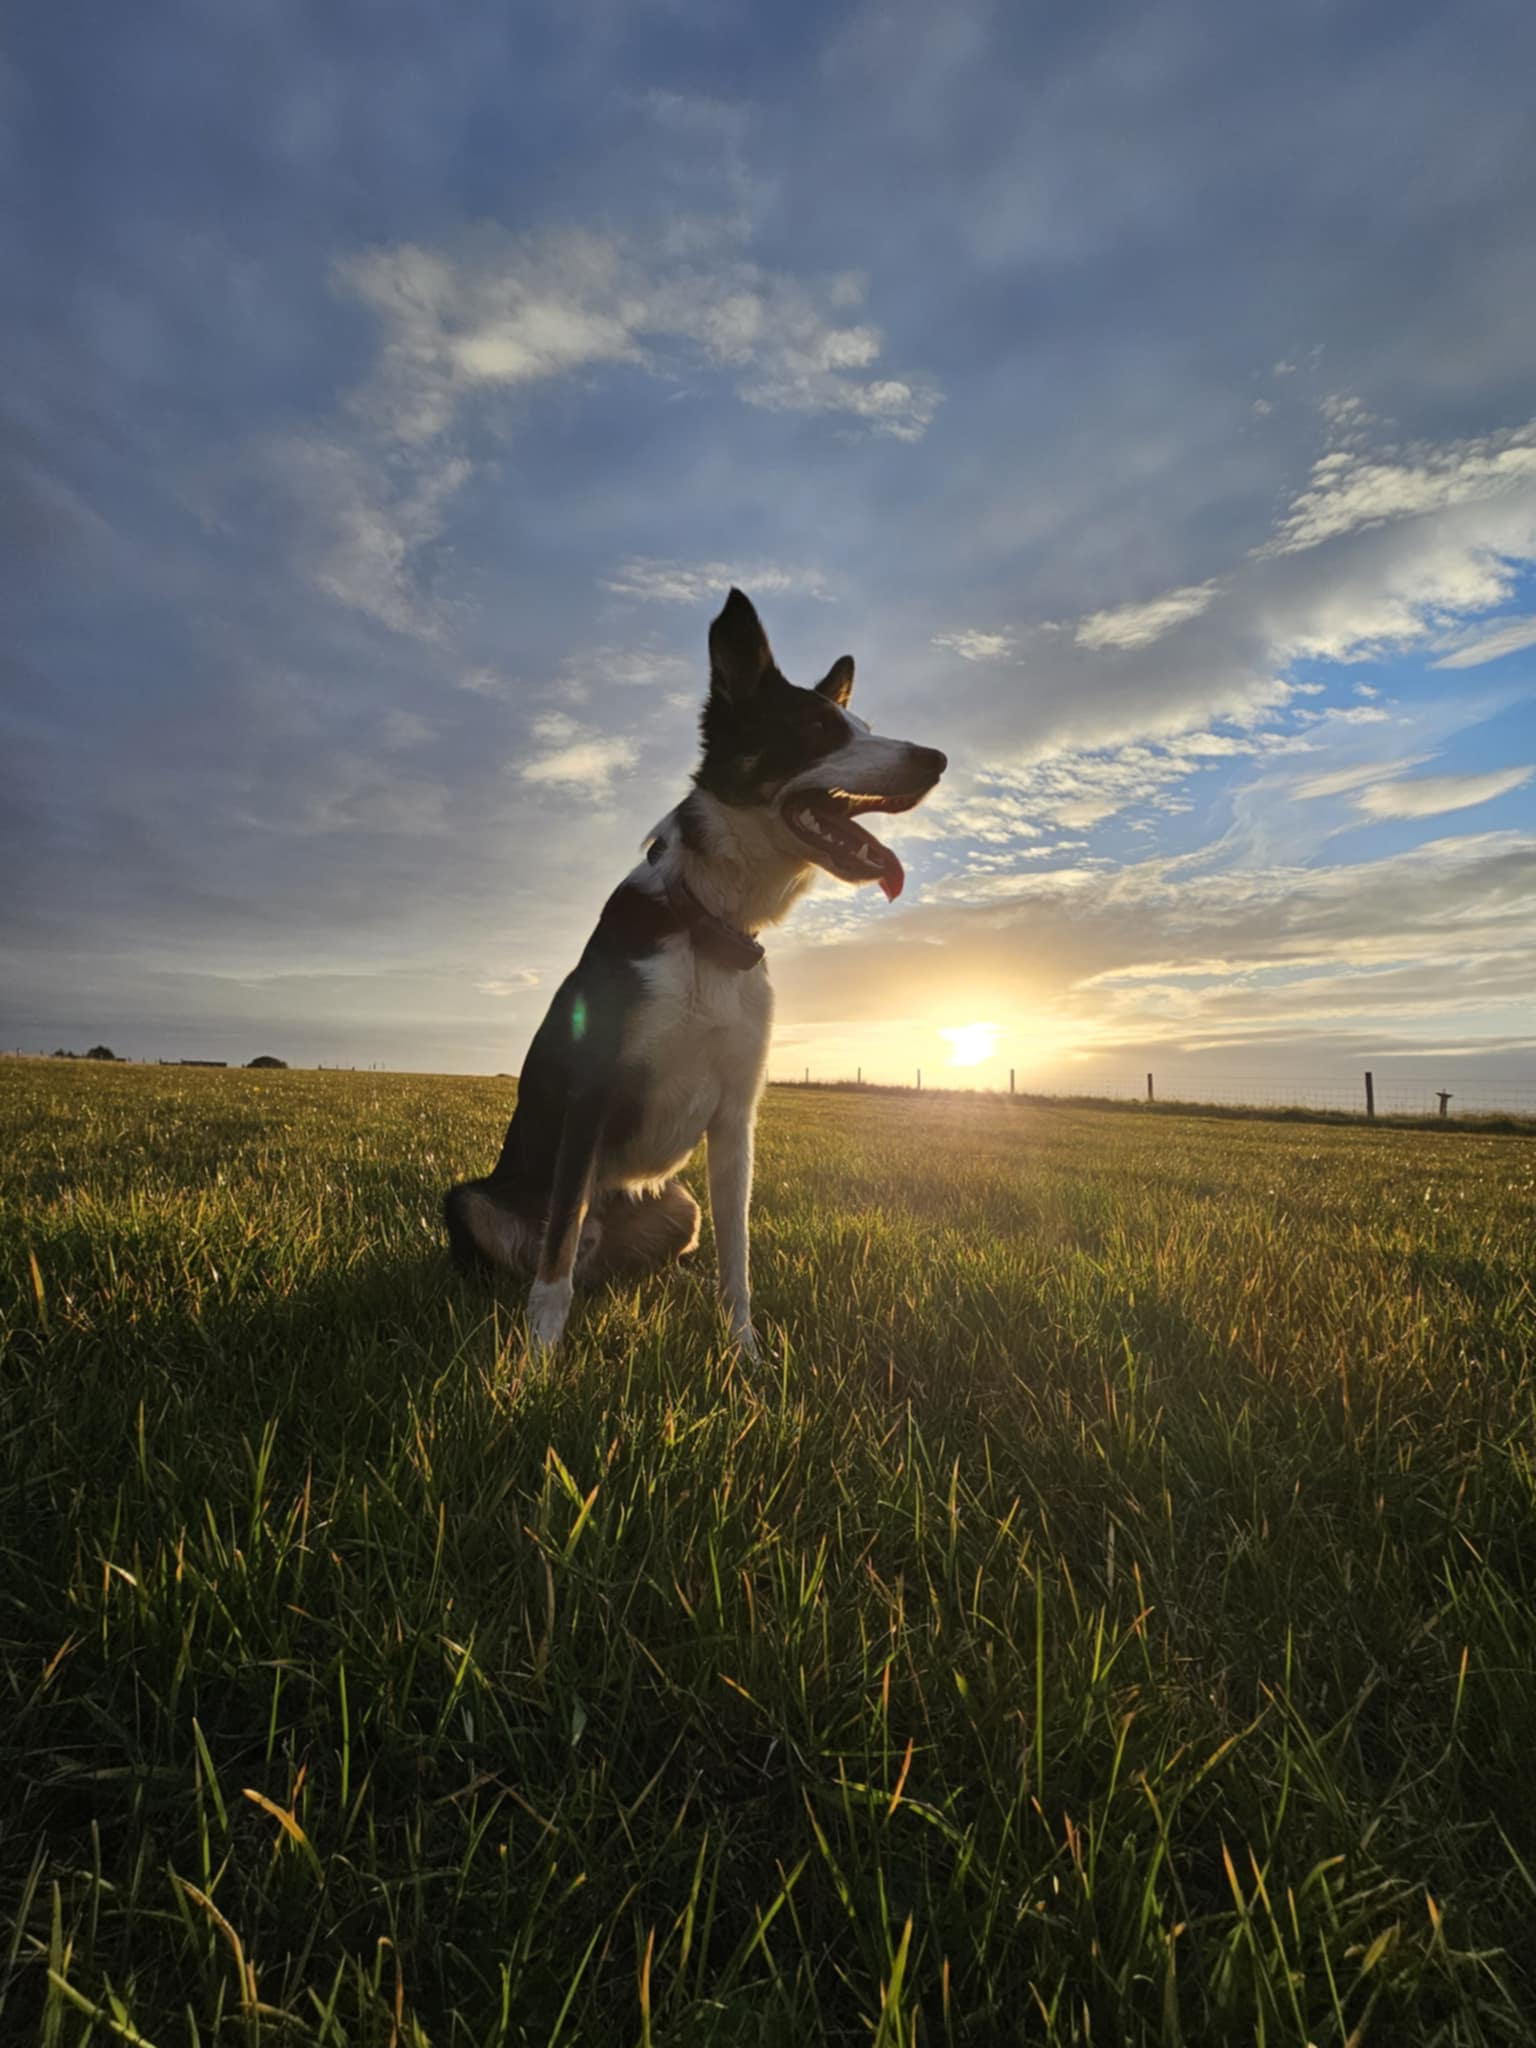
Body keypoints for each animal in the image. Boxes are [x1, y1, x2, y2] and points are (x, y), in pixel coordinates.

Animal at [442, 589, 950, 1359]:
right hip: (472, 1199)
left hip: (677, 1205)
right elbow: (555, 1259)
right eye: (816, 729)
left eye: (863, 726)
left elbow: (736, 1255)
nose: (937, 758)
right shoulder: (590, 1098)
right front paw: (539, 1359)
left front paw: (746, 1353)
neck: (709, 925)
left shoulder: (737, 1121)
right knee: (549, 1253)